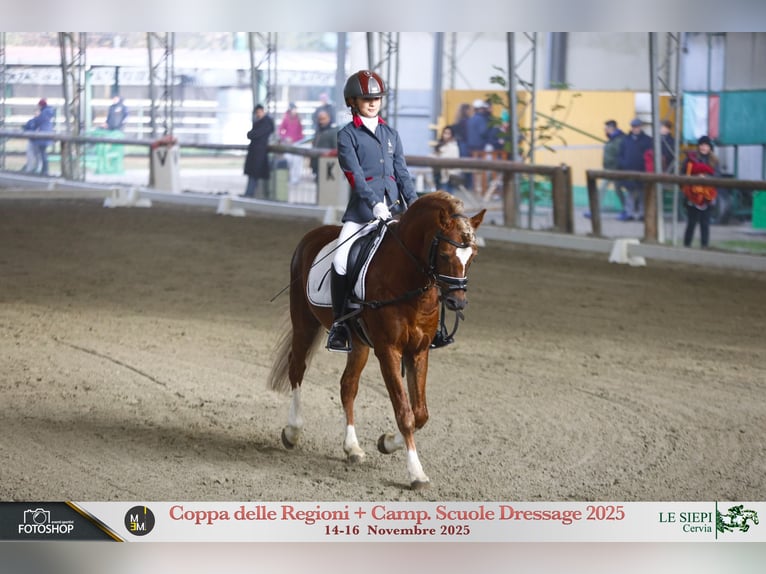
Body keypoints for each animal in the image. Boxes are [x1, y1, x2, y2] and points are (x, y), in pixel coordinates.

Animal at [268, 191, 486, 489]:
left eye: (472, 256)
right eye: (443, 254)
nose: (457, 302)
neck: (408, 279)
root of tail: (313, 235)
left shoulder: (419, 351)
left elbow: (420, 413)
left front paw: (386, 442)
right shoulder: (388, 350)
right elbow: (405, 413)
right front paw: (416, 473)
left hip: (358, 343)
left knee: (347, 386)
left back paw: (352, 448)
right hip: (304, 323)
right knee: (297, 370)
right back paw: (292, 432)